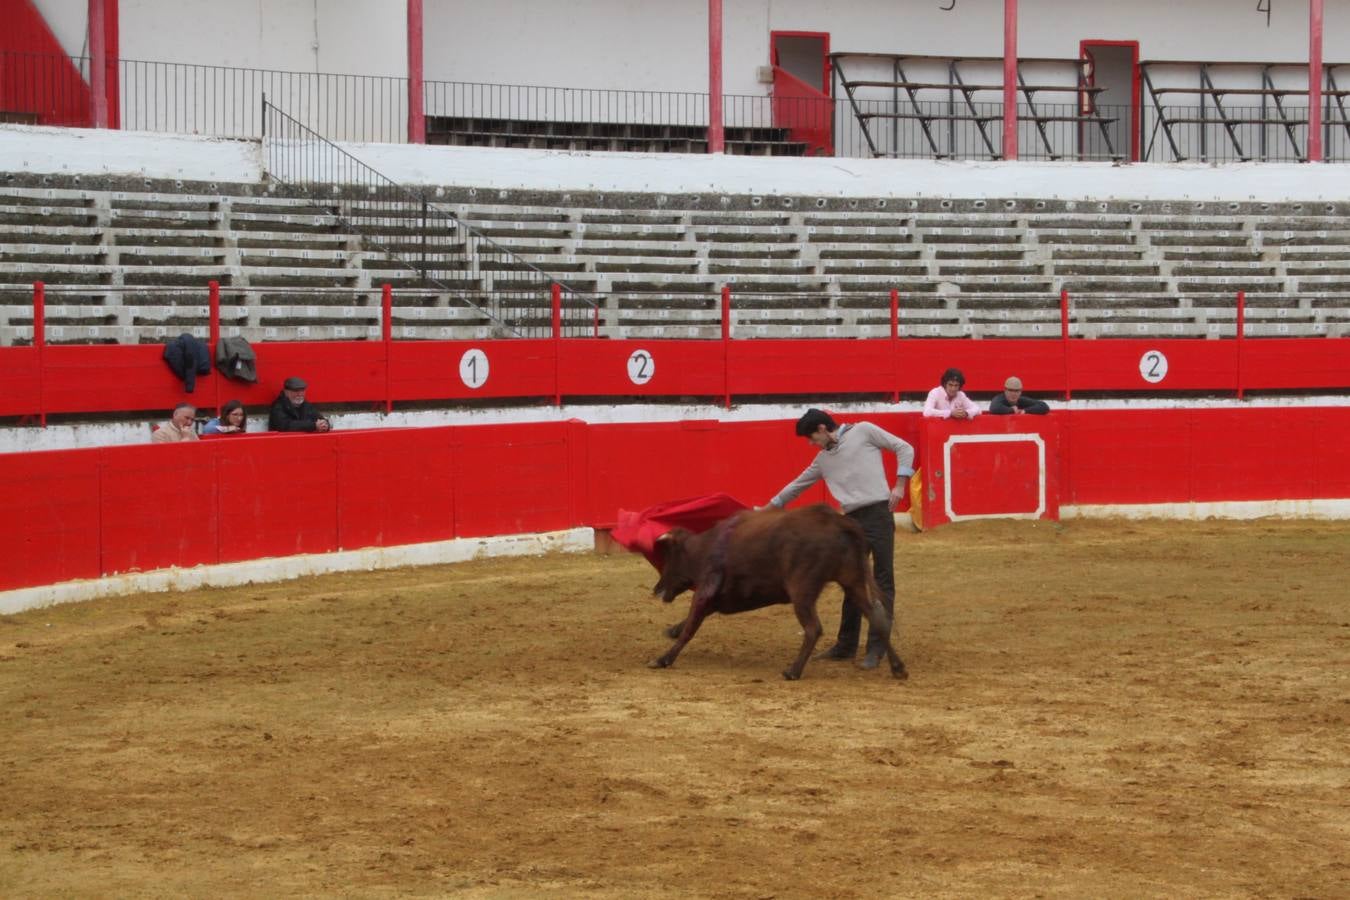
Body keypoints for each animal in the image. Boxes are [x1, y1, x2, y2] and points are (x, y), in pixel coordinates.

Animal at [650, 504, 907, 680]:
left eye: (668, 557)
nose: (656, 589)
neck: (703, 548)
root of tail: (836, 522)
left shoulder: (704, 591)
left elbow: (690, 627)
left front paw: (662, 659)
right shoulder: (714, 598)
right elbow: (689, 623)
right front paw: (671, 631)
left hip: (801, 589)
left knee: (813, 628)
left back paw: (792, 671)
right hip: (852, 582)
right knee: (877, 619)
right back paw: (898, 668)